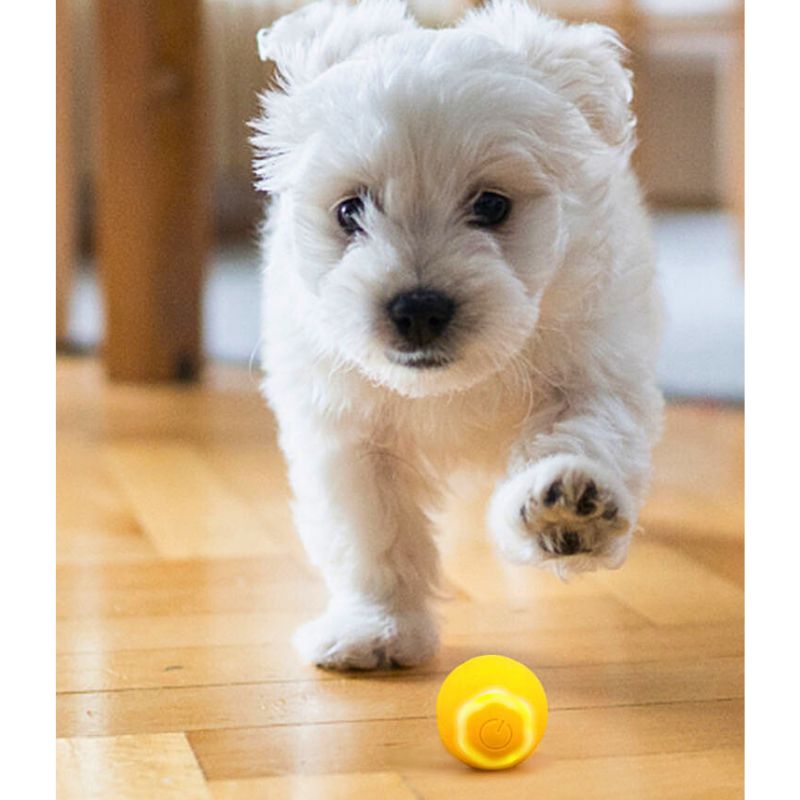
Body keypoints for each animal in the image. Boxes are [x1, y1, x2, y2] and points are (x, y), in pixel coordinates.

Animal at [255, 0, 664, 668]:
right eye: (349, 210)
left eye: (493, 206)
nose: (419, 309)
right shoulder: (349, 430)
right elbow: (373, 533)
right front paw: (378, 628)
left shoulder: (593, 368)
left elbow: (583, 434)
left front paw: (568, 508)